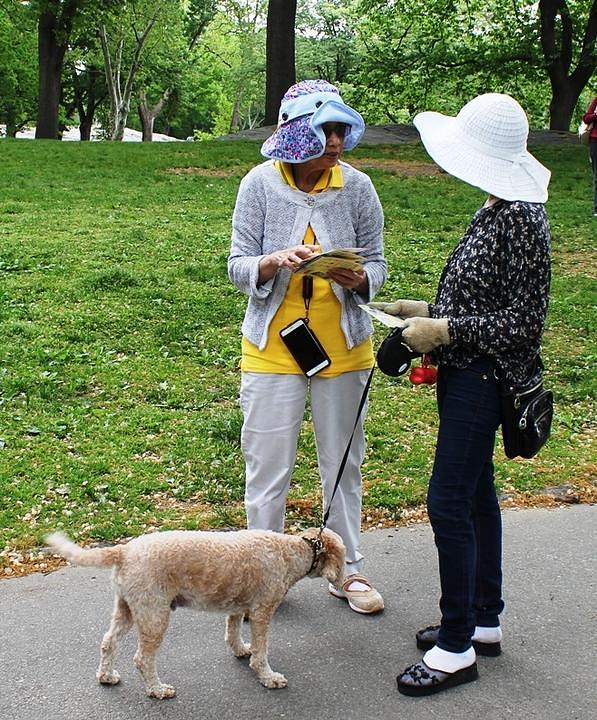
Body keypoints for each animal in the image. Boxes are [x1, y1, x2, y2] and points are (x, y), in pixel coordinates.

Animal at [46, 524, 344, 700]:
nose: (342, 582)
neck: (291, 551)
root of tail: (124, 550)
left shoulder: (237, 606)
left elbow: (233, 631)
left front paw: (240, 650)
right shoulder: (262, 612)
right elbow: (261, 652)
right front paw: (268, 677)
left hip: (127, 608)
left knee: (108, 642)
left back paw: (106, 676)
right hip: (155, 615)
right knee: (142, 659)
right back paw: (157, 689)